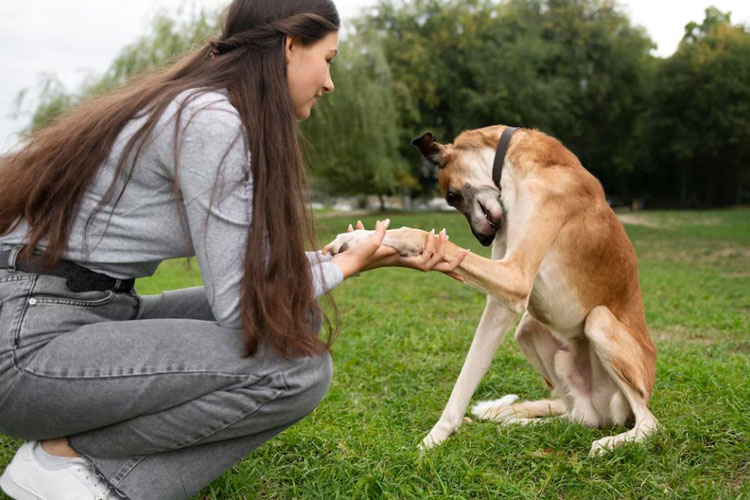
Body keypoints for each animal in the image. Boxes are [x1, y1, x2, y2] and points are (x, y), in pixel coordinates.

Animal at [324, 126, 656, 458]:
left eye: (451, 196)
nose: (483, 239)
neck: (515, 163)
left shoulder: (514, 276)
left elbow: (417, 234)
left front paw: (360, 240)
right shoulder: (502, 301)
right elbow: (465, 379)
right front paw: (436, 438)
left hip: (600, 323)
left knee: (649, 424)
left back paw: (610, 441)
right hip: (530, 332)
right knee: (579, 417)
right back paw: (514, 424)